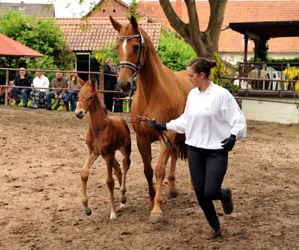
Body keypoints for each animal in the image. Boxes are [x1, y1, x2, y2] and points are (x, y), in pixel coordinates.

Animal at [75, 77, 131, 220]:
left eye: (90, 97)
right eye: (78, 96)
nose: (78, 113)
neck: (99, 129)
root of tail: (121, 120)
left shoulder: (108, 153)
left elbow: (109, 181)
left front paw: (112, 212)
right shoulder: (93, 151)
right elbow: (84, 172)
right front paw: (87, 209)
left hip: (124, 148)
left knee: (125, 164)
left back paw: (123, 197)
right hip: (111, 154)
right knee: (118, 169)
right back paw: (122, 201)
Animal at [111, 16, 193, 223]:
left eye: (136, 47)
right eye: (117, 46)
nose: (124, 84)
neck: (152, 93)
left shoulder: (166, 134)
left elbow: (159, 169)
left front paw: (157, 208)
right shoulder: (143, 139)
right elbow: (148, 170)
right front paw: (150, 199)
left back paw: (192, 187)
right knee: (174, 156)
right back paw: (172, 188)